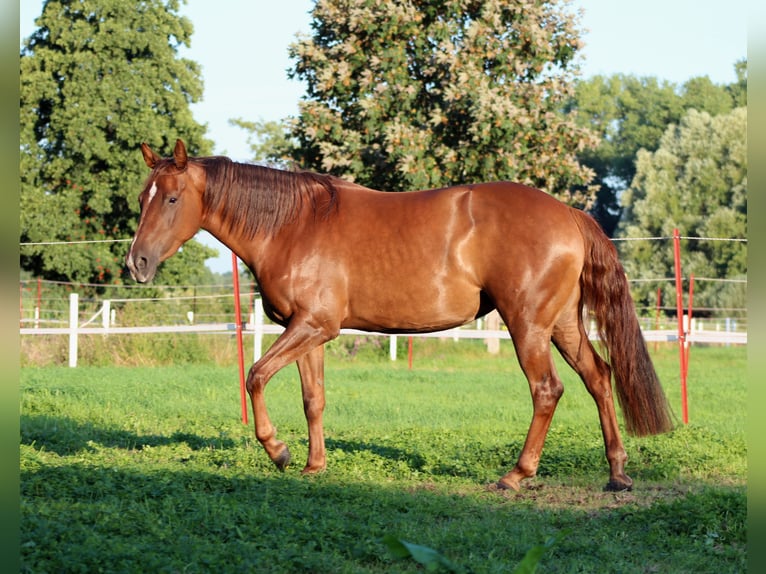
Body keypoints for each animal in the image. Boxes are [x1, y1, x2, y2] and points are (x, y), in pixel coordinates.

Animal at [127, 139, 673, 491]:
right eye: (141, 197)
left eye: (171, 198)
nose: (137, 263)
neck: (293, 225)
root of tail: (569, 214)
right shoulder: (307, 332)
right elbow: (312, 399)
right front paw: (313, 465)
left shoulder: (313, 326)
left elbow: (255, 375)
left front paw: (277, 450)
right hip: (561, 324)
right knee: (599, 377)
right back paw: (617, 474)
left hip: (528, 326)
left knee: (548, 391)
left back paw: (516, 475)